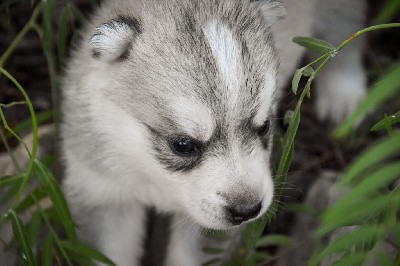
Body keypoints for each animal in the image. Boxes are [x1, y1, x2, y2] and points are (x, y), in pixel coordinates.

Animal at [61, 0, 364, 266]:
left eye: (264, 126)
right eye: (183, 144)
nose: (247, 210)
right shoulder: (103, 193)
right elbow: (108, 253)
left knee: (344, 27)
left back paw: (344, 92)